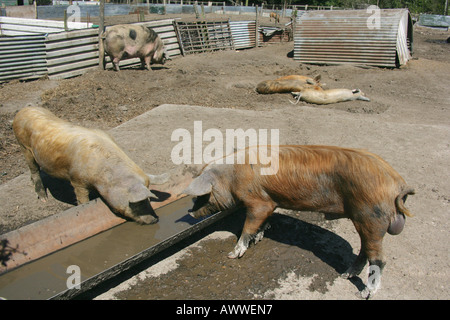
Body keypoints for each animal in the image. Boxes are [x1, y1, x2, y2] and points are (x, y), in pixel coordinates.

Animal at [13, 106, 171, 224]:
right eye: (137, 203)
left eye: (149, 199)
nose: (155, 220)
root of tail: (24, 110)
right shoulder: (77, 179)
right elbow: (82, 200)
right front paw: (84, 208)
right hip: (24, 147)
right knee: (34, 170)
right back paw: (43, 199)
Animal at [183, 145, 414, 298]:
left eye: (203, 195)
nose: (191, 214)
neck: (232, 177)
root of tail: (398, 183)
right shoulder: (270, 201)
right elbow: (263, 222)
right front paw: (259, 237)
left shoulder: (258, 202)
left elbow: (248, 226)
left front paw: (232, 255)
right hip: (367, 222)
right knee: (365, 251)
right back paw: (345, 275)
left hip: (371, 218)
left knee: (379, 259)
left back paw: (364, 293)